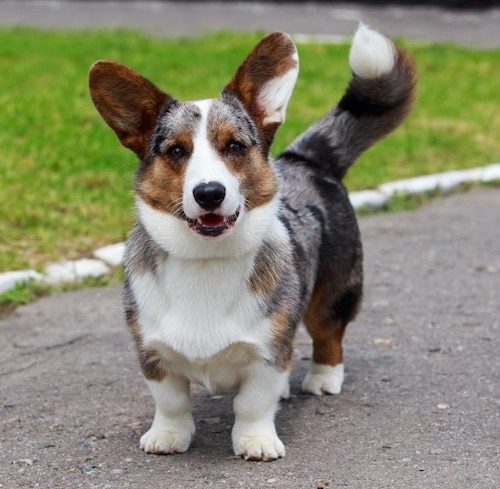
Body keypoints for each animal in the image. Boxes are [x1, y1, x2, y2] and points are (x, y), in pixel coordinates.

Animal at [89, 25, 414, 462]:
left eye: (234, 147)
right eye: (176, 151)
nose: (210, 193)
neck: (207, 260)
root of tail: (305, 160)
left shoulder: (267, 353)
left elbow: (252, 403)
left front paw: (256, 441)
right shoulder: (151, 350)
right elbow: (171, 401)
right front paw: (168, 436)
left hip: (333, 291)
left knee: (329, 334)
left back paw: (323, 378)